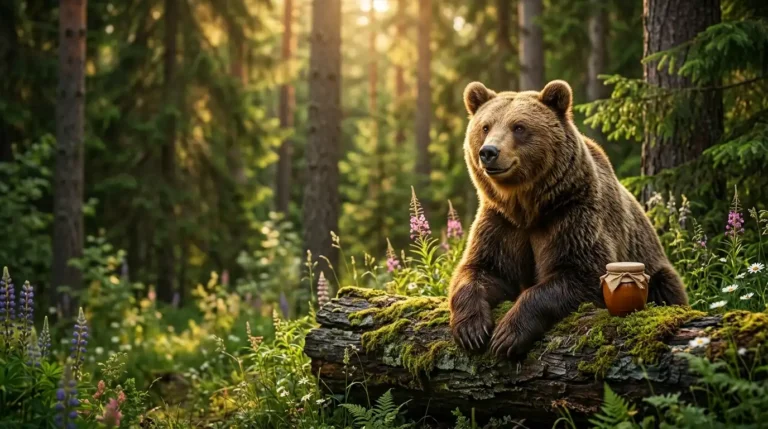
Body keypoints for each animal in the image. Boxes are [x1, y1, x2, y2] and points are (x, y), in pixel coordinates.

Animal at [448, 79, 688, 359]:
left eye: (519, 127)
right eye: (485, 126)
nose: (488, 152)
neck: (527, 207)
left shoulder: (572, 216)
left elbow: (580, 274)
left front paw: (507, 335)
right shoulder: (501, 223)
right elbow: (482, 269)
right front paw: (472, 330)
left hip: (655, 267)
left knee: (666, 288)